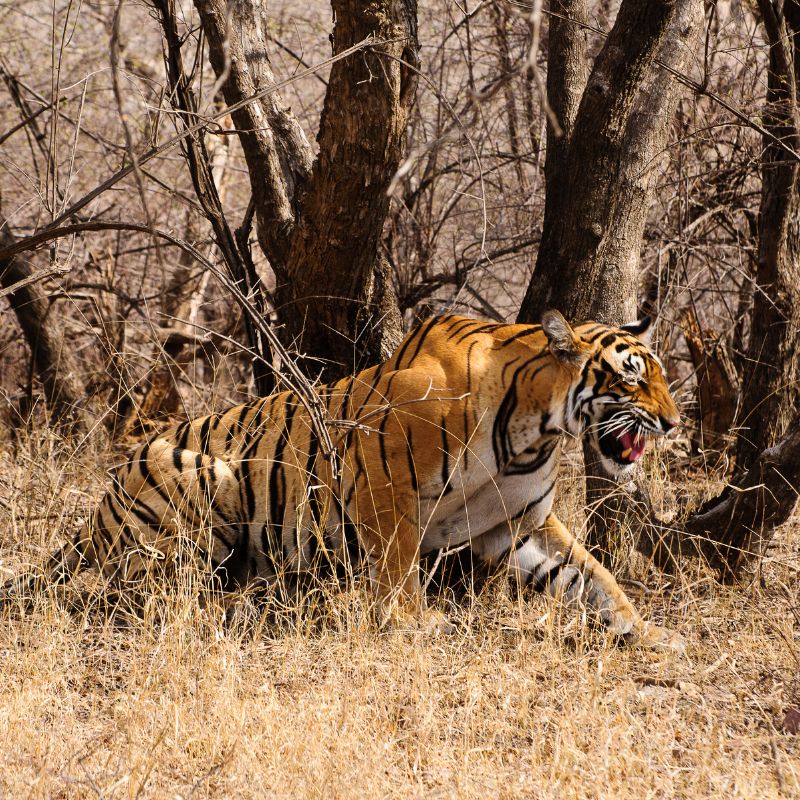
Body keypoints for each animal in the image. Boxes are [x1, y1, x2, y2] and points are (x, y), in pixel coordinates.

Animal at [5, 310, 683, 649]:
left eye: (661, 376)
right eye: (631, 376)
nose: (675, 422)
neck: (533, 429)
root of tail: (99, 504)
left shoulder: (517, 525)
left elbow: (595, 576)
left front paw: (647, 631)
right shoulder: (381, 481)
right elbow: (398, 563)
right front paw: (412, 622)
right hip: (201, 478)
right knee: (149, 592)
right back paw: (243, 608)